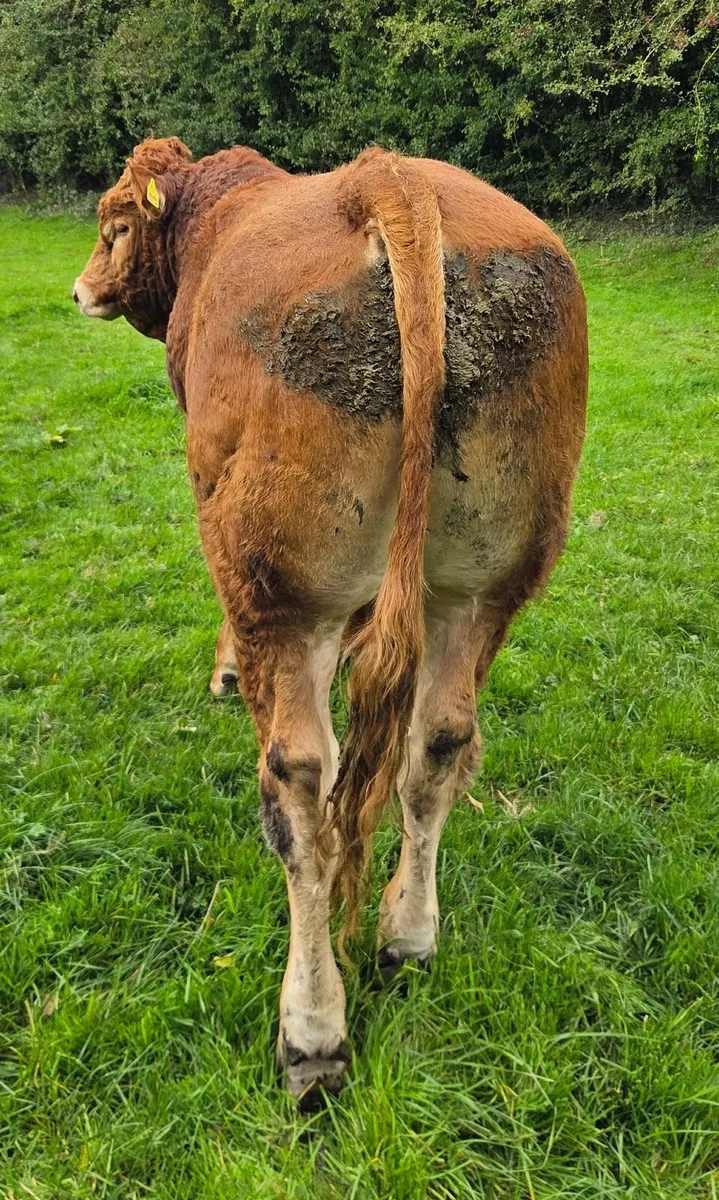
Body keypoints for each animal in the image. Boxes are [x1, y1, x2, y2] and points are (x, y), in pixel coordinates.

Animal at [74, 137, 587, 1108]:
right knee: (437, 743)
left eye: (114, 223)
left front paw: (222, 668)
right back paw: (406, 937)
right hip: (483, 582)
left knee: (301, 793)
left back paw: (311, 1034)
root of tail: (387, 179)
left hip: (279, 586)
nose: (81, 291)